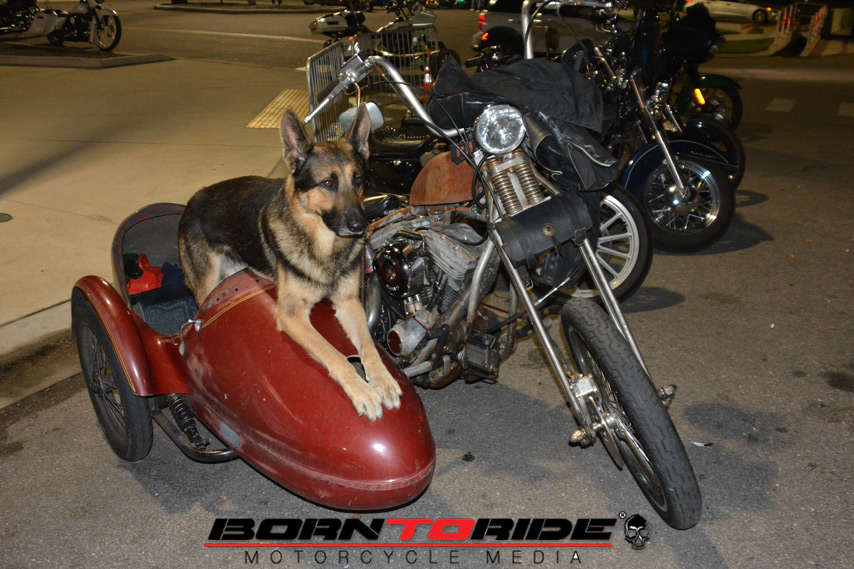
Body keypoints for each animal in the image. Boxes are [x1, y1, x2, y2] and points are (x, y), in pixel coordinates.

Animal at [178, 105, 401, 422]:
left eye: (358, 180)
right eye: (327, 183)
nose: (360, 226)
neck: (323, 246)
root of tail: (194, 198)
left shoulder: (348, 302)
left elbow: (369, 346)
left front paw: (382, 380)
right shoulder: (292, 315)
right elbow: (333, 353)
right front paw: (362, 391)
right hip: (207, 287)